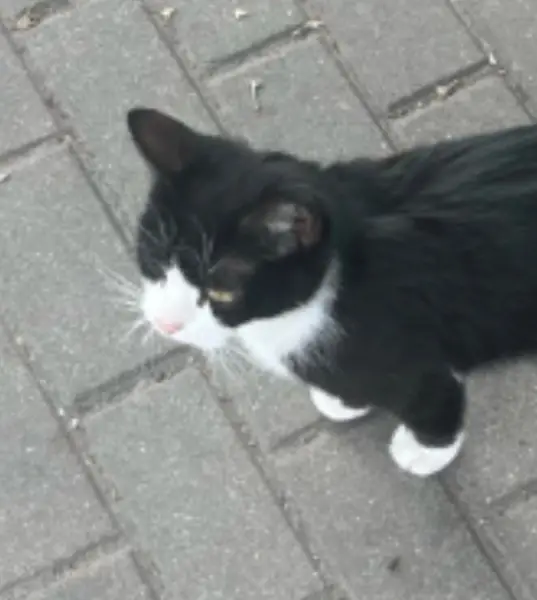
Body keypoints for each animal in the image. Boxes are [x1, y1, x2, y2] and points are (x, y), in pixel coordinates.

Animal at [127, 107, 537, 477]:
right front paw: (344, 401)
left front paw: (425, 452)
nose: (165, 324)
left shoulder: (406, 354)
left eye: (223, 291)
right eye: (154, 259)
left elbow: (436, 397)